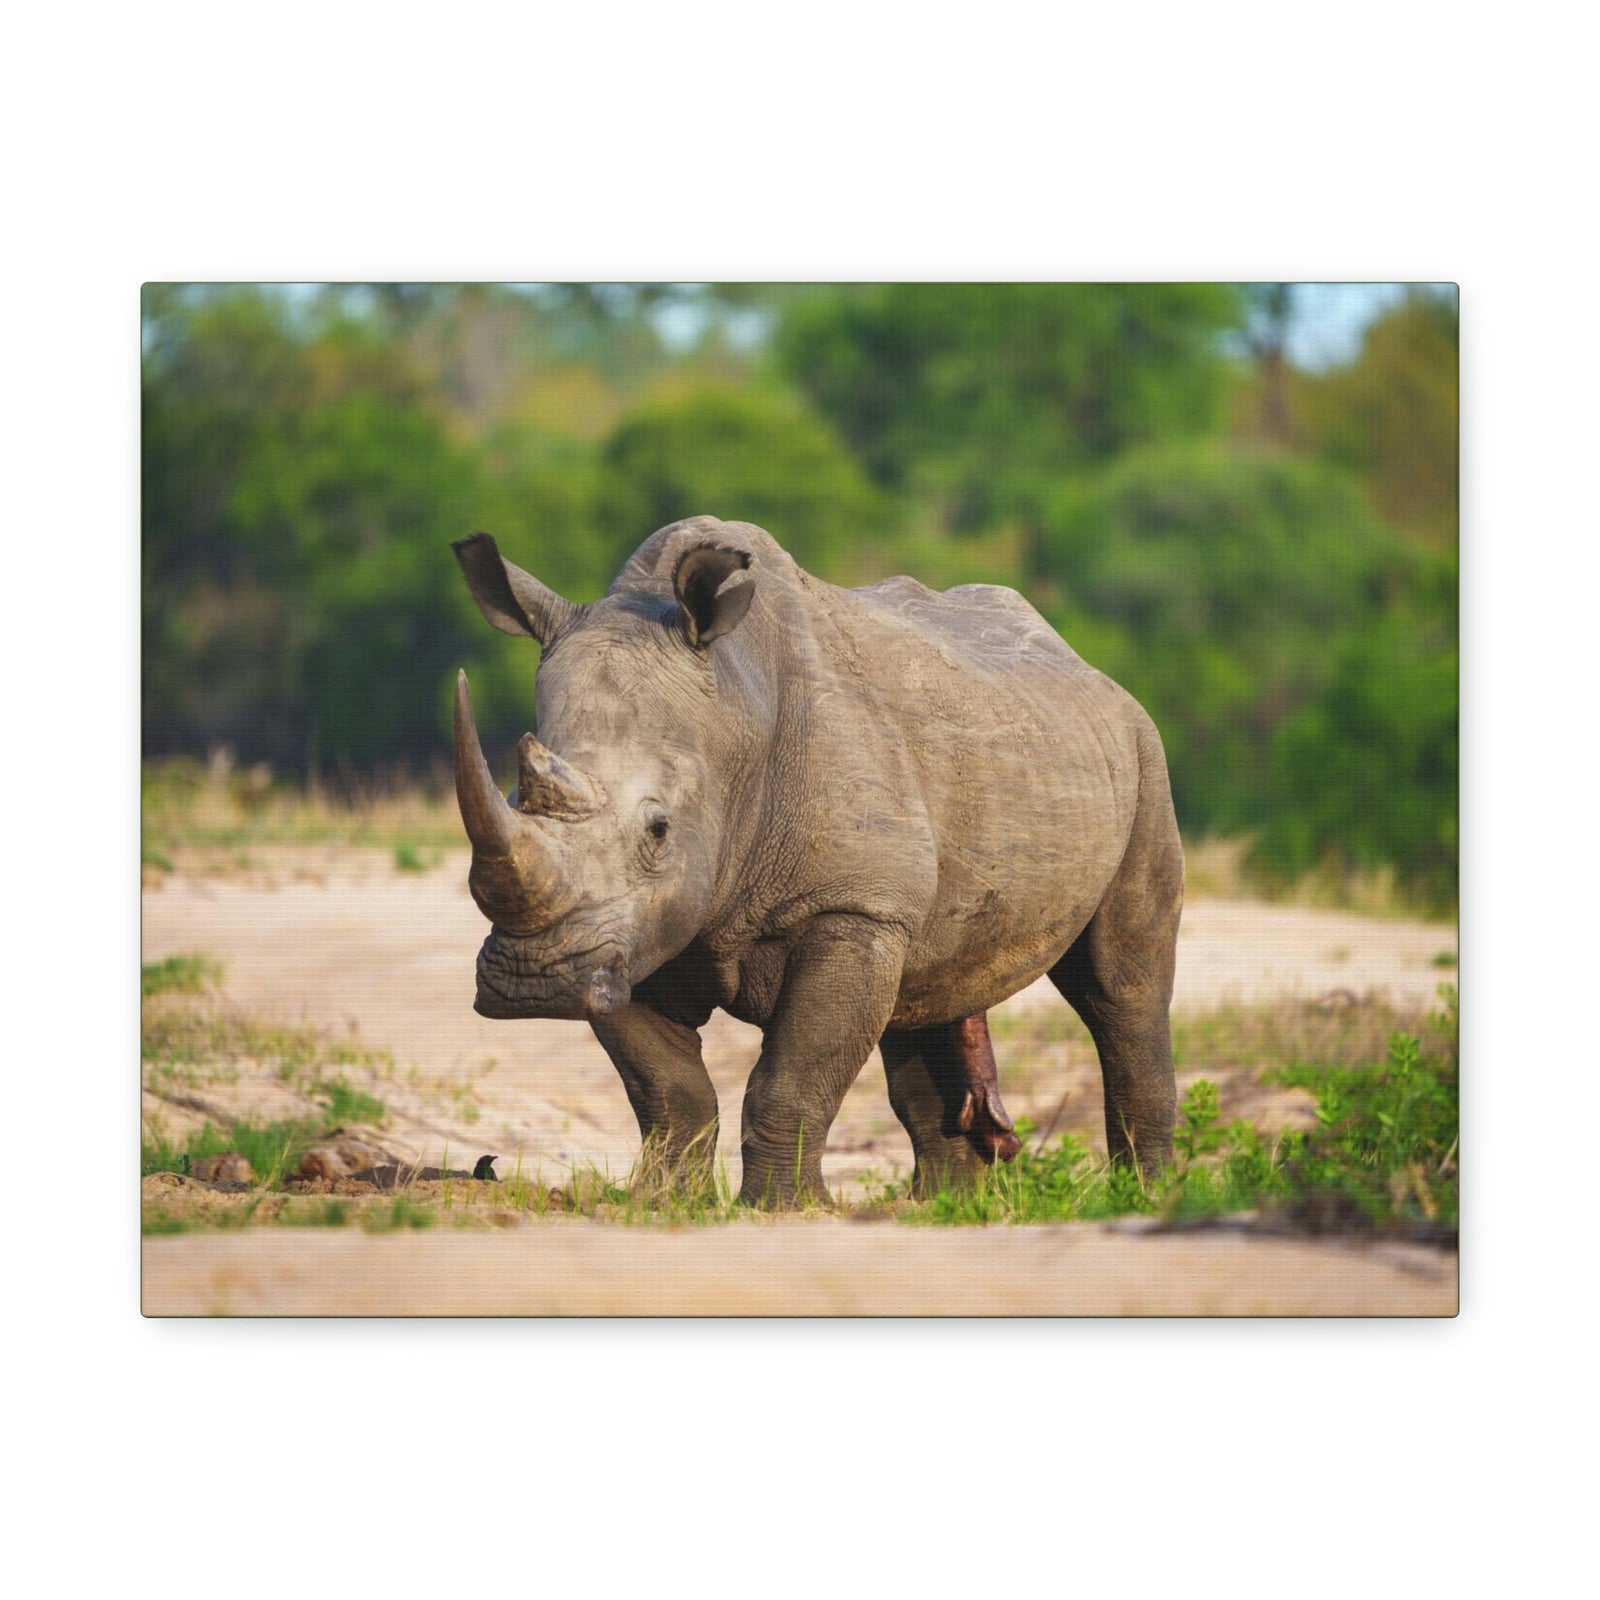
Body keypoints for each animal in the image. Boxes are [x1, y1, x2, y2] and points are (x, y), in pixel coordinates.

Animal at [451, 516, 1181, 1206]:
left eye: (658, 831)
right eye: (515, 800)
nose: (533, 980)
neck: (733, 721)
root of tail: (1084, 665)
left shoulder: (851, 906)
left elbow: (793, 1075)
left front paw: (783, 1209)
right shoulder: (619, 936)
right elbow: (670, 1091)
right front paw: (663, 1204)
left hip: (1142, 751)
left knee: (1122, 985)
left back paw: (1143, 1194)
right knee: (926, 990)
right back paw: (942, 1204)